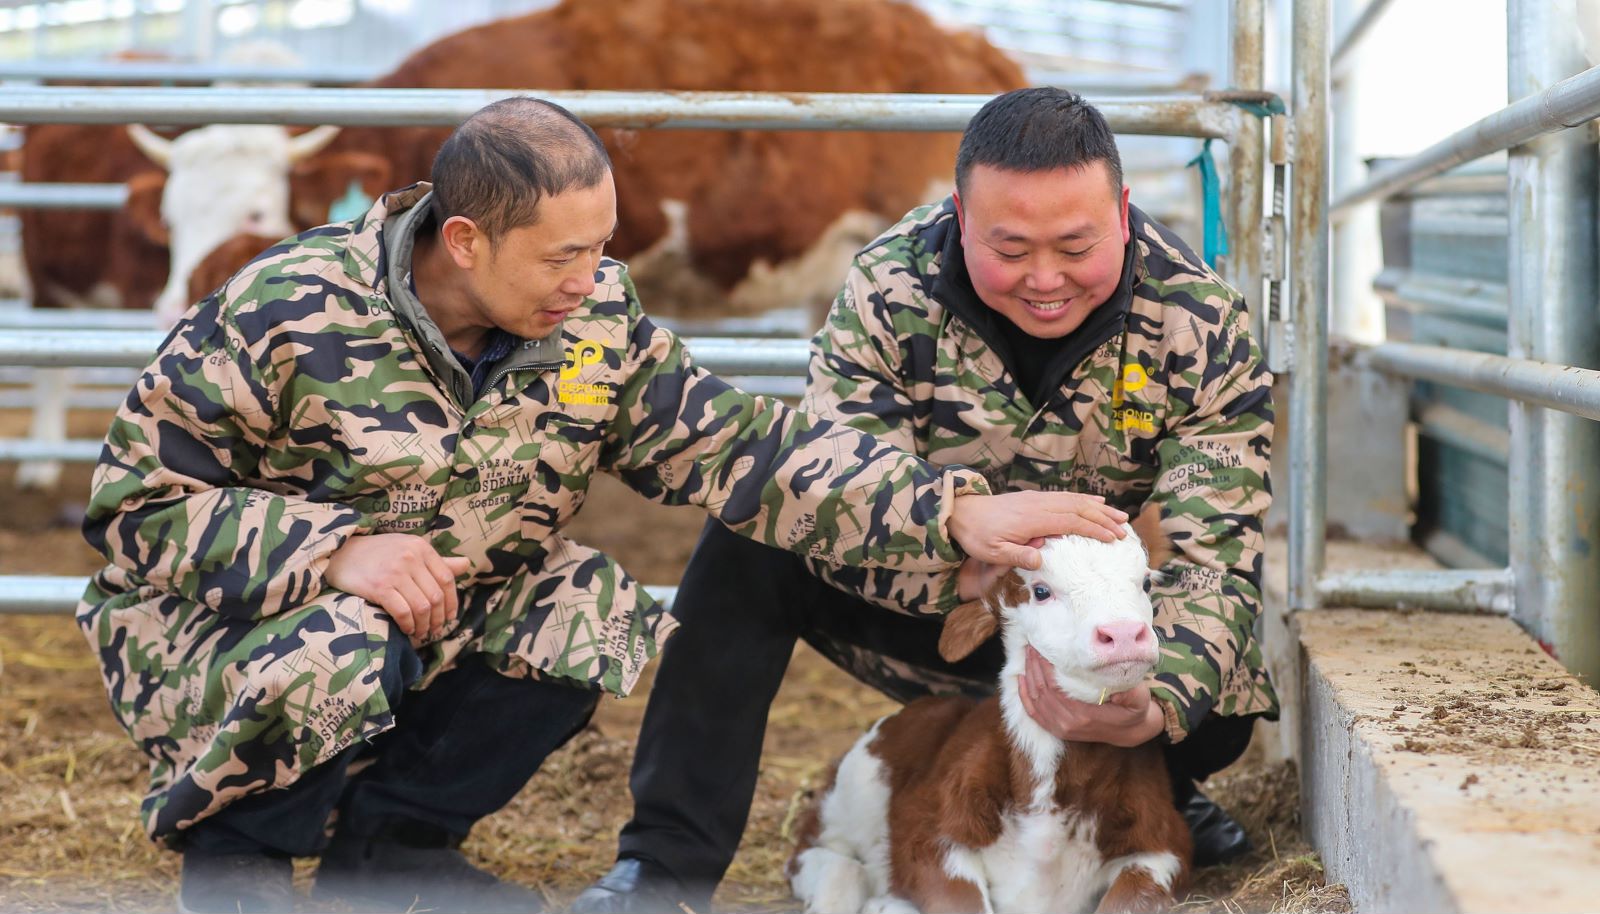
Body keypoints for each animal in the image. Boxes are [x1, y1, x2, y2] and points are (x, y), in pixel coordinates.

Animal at [787, 515, 1190, 914]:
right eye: (1040, 591)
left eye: (1145, 583)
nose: (1123, 634)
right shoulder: (927, 835)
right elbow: (960, 900)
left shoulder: (1165, 847)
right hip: (857, 786)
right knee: (819, 852)